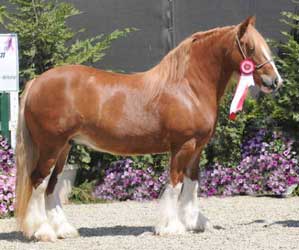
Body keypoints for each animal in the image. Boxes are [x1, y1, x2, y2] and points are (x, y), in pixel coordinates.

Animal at [15, 16, 284, 241]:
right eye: (250, 47)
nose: (275, 81)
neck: (188, 86)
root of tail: (37, 81)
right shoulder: (182, 145)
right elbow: (175, 184)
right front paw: (171, 227)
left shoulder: (197, 148)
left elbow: (192, 184)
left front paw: (195, 222)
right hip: (51, 146)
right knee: (38, 182)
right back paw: (42, 232)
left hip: (63, 149)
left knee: (52, 186)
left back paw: (64, 230)